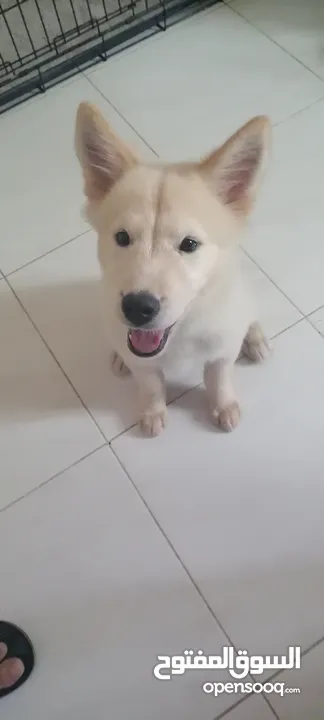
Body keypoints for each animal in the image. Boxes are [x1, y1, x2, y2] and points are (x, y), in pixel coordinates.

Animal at [74, 104, 270, 436]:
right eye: (122, 238)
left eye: (189, 244)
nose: (137, 308)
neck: (179, 332)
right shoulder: (142, 360)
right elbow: (151, 384)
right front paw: (153, 410)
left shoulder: (221, 350)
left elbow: (218, 377)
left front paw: (223, 405)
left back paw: (254, 337)